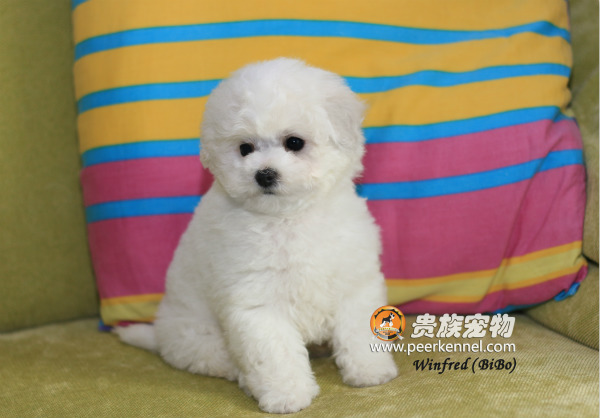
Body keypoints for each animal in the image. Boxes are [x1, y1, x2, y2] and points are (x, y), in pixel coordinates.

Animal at [116, 58, 398, 414]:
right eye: (245, 148)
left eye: (294, 142)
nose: (264, 174)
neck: (289, 217)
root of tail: (160, 335)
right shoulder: (257, 302)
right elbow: (275, 352)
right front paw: (287, 395)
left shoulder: (353, 280)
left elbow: (359, 330)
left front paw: (371, 371)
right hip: (200, 337)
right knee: (221, 361)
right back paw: (248, 382)